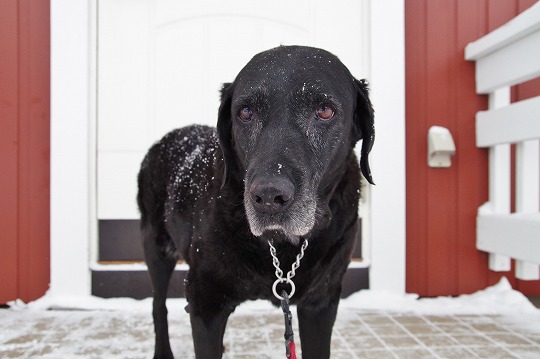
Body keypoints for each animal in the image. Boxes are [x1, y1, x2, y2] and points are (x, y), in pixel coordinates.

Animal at [138, 46, 376, 358]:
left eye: (325, 111)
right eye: (246, 112)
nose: (269, 196)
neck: (281, 248)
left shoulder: (320, 304)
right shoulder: (205, 302)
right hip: (156, 246)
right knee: (158, 306)